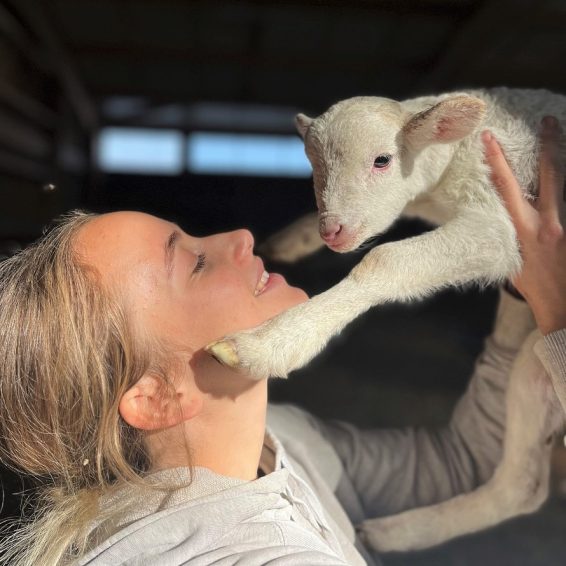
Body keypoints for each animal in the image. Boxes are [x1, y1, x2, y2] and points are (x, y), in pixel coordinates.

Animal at [206, 90, 566, 556]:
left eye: (382, 160)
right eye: (313, 167)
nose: (333, 231)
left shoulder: (502, 218)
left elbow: (385, 258)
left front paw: (267, 342)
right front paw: (291, 240)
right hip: (532, 365)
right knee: (522, 486)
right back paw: (399, 531)